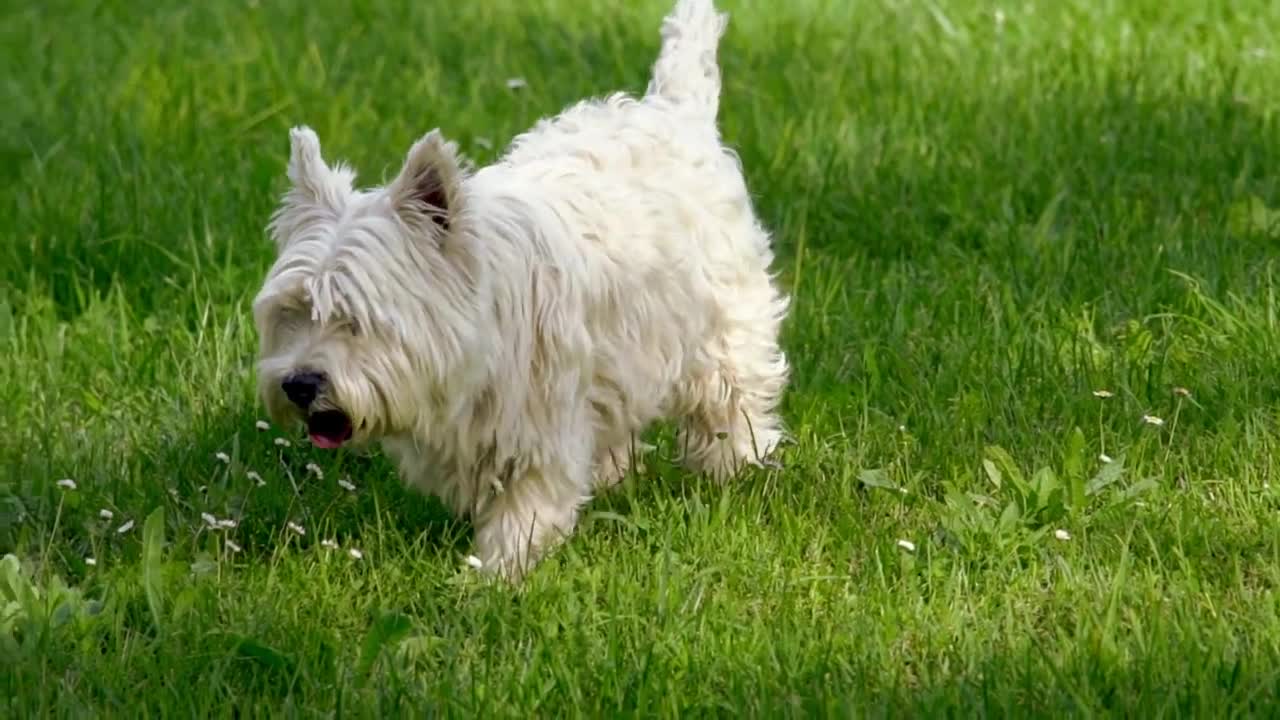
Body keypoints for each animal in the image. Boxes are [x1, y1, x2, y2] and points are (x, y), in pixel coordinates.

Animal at [253, 0, 783, 573]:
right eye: (291, 311)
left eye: (355, 319)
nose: (299, 385)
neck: (482, 322)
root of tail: (673, 110)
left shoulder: (542, 423)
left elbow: (525, 505)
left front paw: (495, 574)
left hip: (722, 330)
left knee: (732, 400)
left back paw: (737, 469)